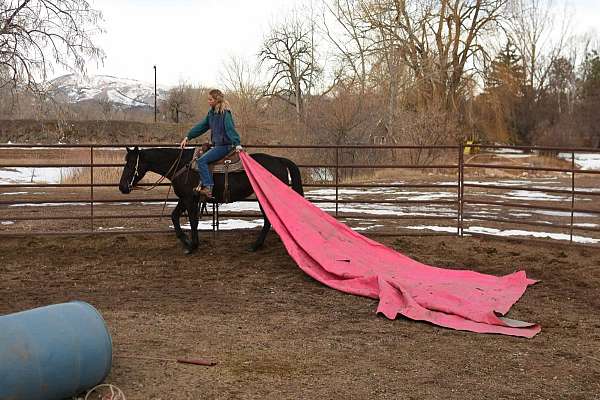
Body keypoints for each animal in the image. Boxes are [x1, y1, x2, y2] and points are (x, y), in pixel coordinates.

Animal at [118, 147, 304, 253]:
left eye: (130, 164)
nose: (122, 187)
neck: (182, 165)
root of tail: (278, 160)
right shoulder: (185, 198)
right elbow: (175, 217)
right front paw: (185, 240)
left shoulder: (189, 199)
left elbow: (193, 221)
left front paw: (193, 245)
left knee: (268, 220)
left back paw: (255, 245)